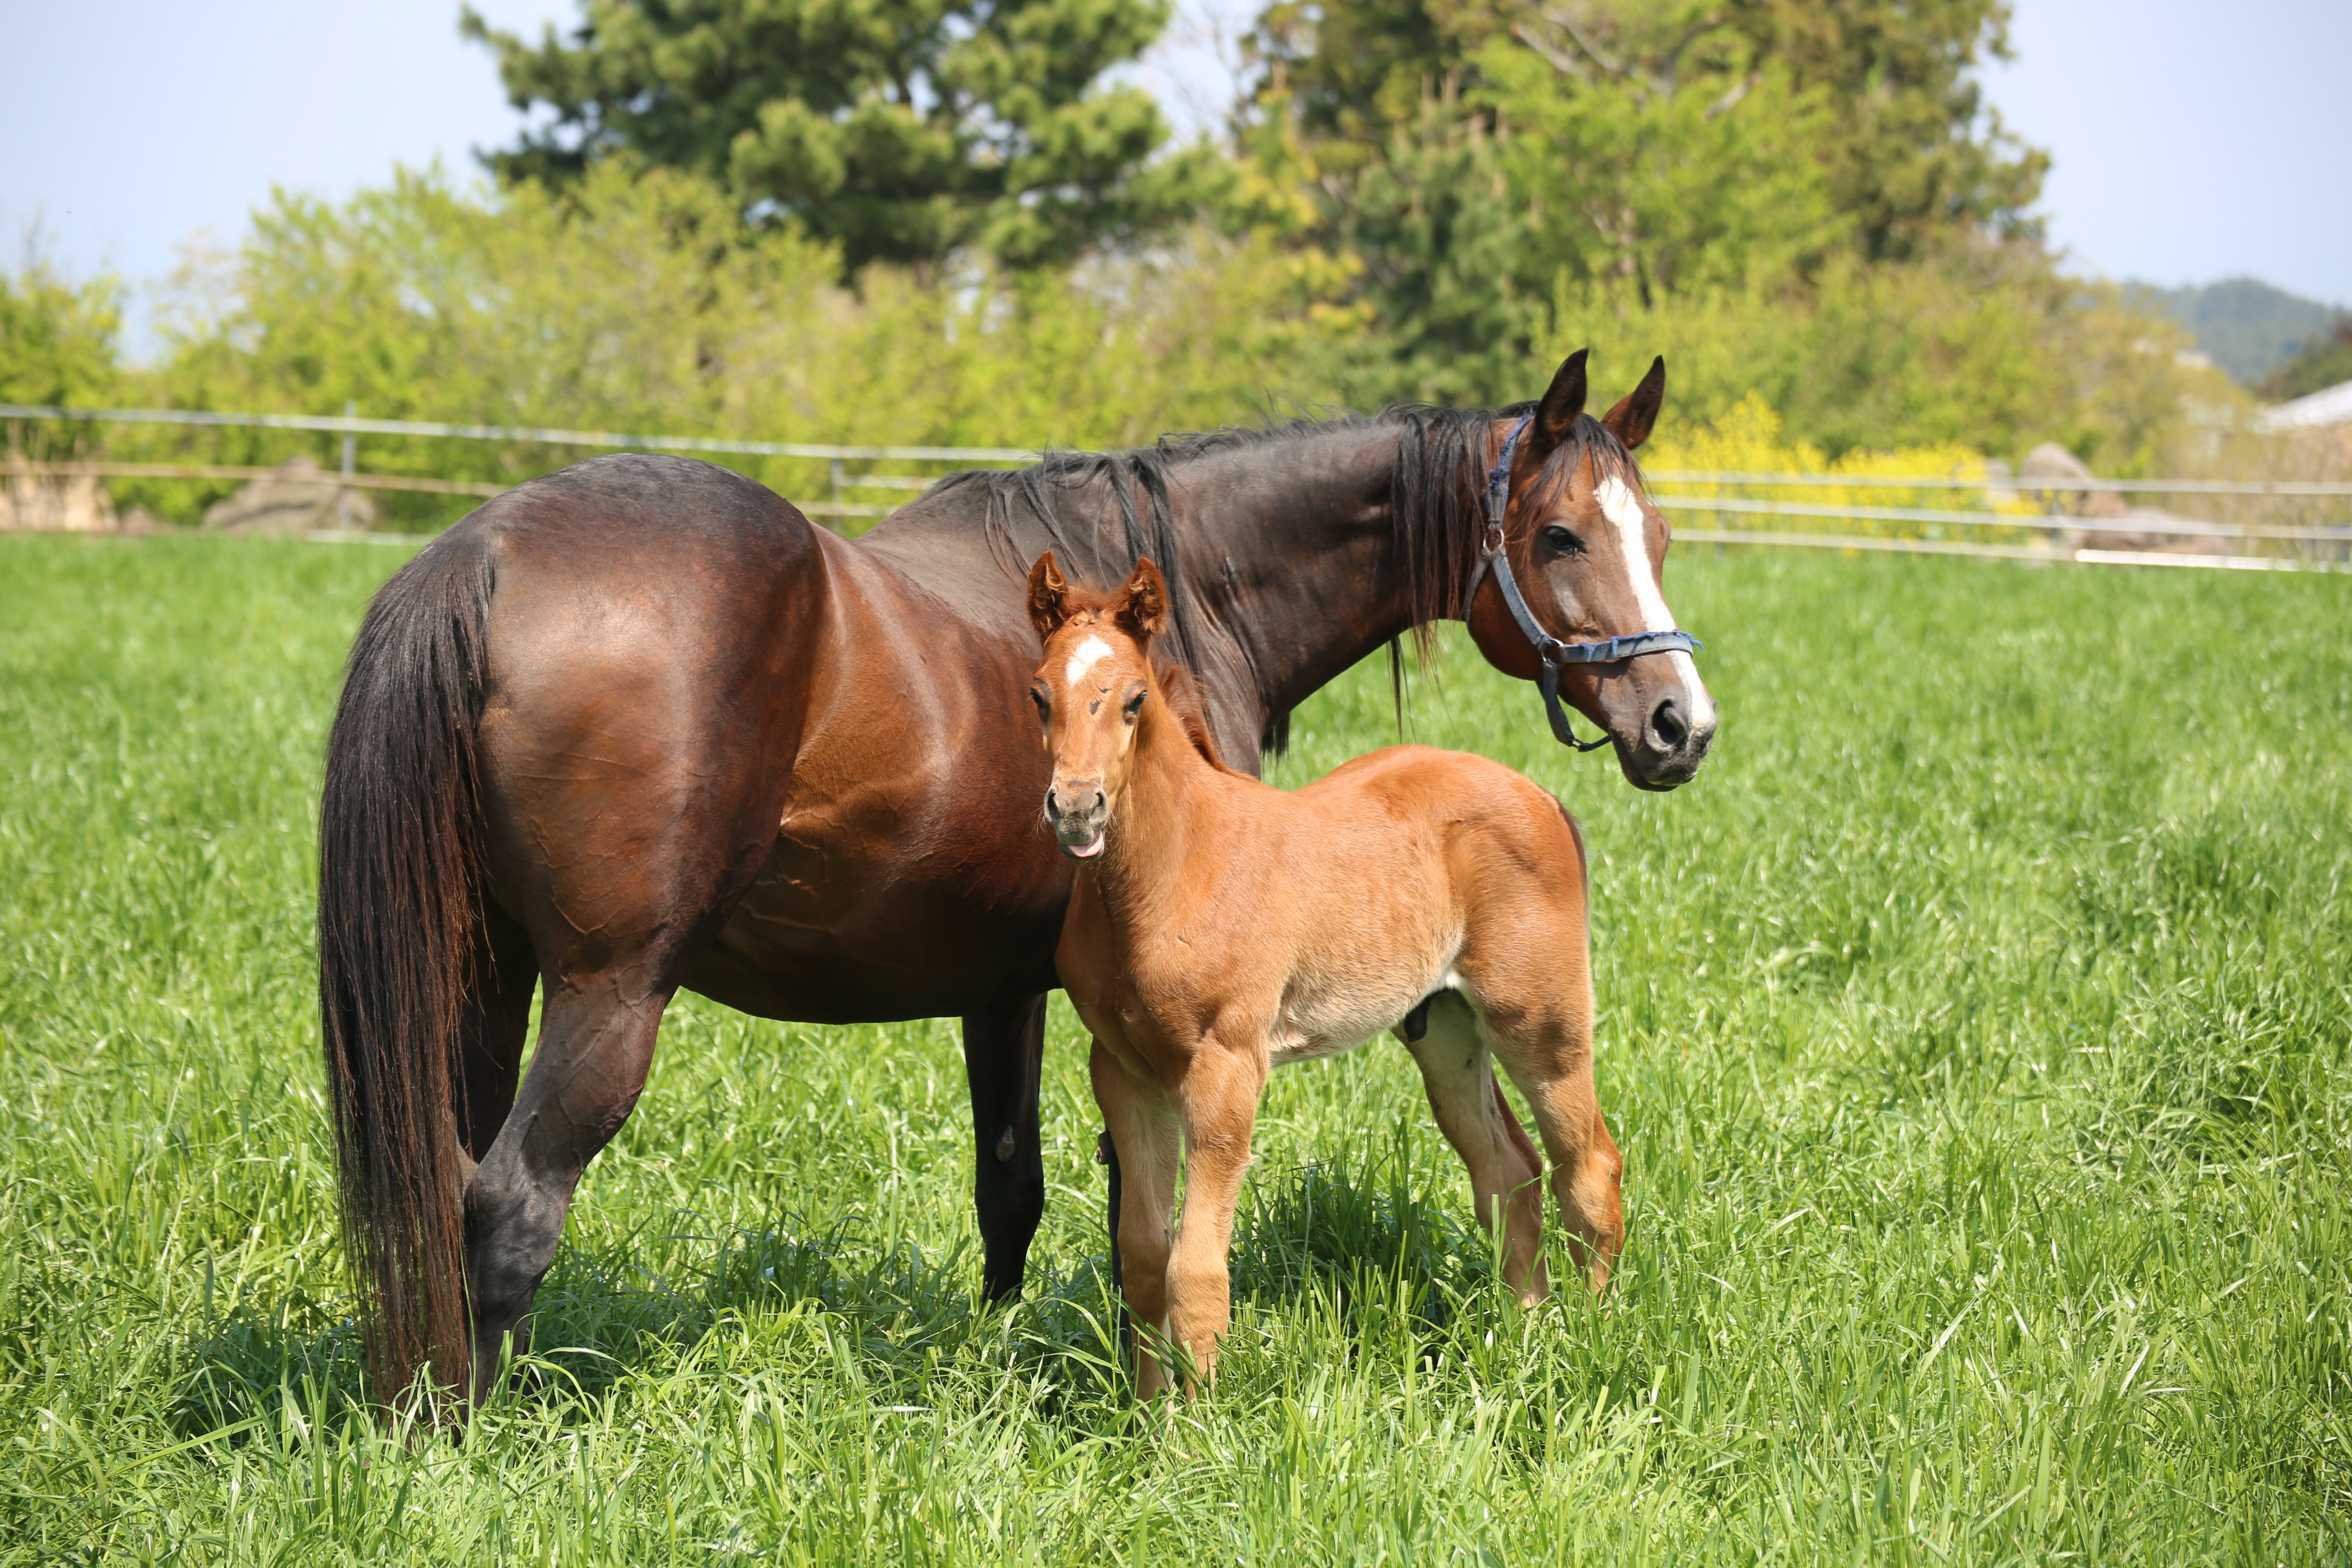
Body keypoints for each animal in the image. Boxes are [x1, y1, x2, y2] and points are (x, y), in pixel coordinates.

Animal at [1030, 552, 1618, 1401]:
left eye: (1135, 699)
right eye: (1040, 694)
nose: (1077, 809)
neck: (1173, 867)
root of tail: (1539, 793)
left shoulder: (1226, 1068)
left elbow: (1196, 1273)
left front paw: (1199, 1433)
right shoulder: (1124, 1071)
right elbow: (1143, 1261)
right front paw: (1147, 1418)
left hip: (1541, 1022)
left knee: (1589, 1169)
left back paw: (1594, 1343)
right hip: (1444, 1029)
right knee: (1510, 1173)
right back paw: (1525, 1340)